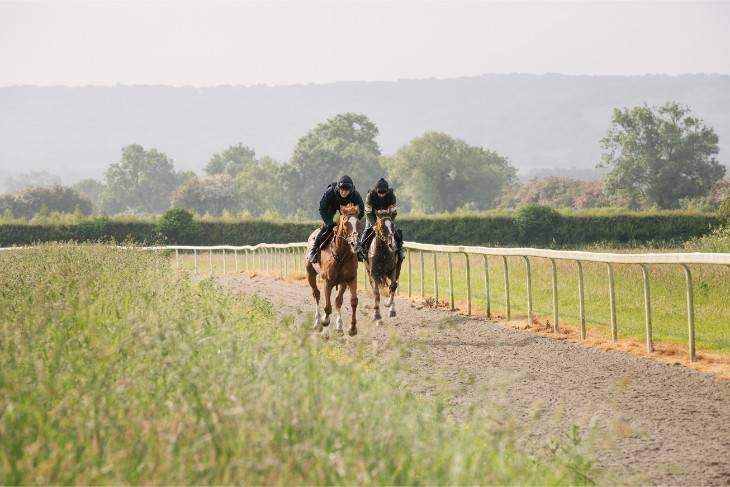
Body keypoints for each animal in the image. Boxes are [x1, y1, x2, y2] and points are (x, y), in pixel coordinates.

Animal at [302, 204, 360, 338]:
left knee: (337, 301)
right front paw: (325, 320)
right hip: (310, 274)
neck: (341, 254)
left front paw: (351, 328)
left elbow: (352, 301)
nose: (355, 244)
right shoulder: (327, 281)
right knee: (316, 294)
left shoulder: (349, 279)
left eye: (358, 222)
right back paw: (318, 322)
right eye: (346, 224)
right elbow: (327, 307)